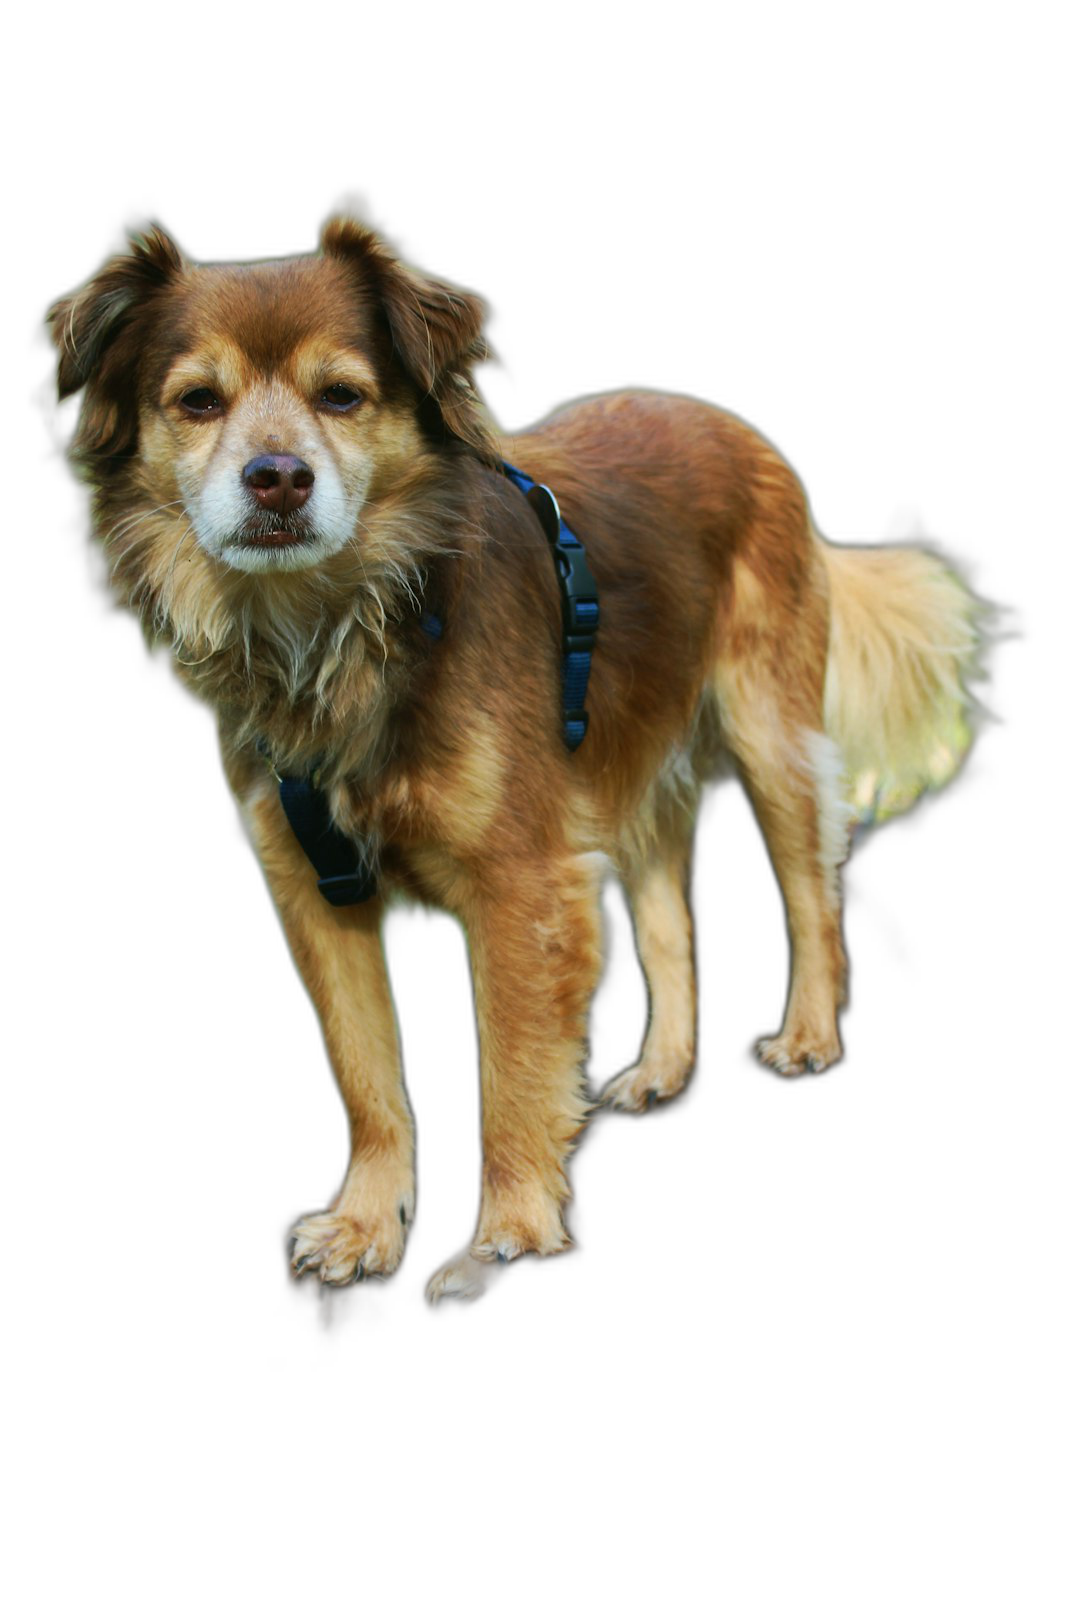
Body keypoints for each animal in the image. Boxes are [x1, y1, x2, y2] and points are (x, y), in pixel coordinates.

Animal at [48, 208, 997, 1308]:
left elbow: (510, 1071)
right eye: (198, 403)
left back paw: (808, 1037)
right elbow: (368, 1077)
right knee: (670, 927)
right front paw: (365, 1228)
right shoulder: (314, 893)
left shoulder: (521, 887)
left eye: (343, 395)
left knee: (812, 894)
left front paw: (509, 1234)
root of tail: (738, 429)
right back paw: (663, 1069)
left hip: (773, 737)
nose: (278, 476)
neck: (340, 627)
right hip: (629, 779)